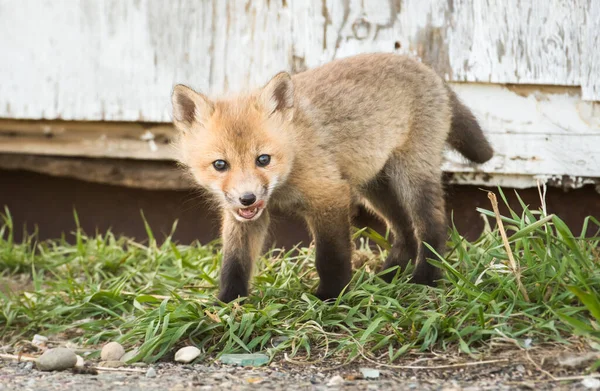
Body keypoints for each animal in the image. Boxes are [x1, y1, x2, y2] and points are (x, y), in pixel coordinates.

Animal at [172, 52, 492, 304]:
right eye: (220, 165)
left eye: (263, 159)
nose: (247, 198)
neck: (294, 157)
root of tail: (426, 68)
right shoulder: (244, 217)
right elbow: (234, 262)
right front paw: (227, 302)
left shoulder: (329, 194)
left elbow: (330, 256)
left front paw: (331, 295)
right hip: (373, 186)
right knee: (405, 231)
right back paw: (387, 276)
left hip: (410, 176)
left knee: (432, 225)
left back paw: (425, 278)